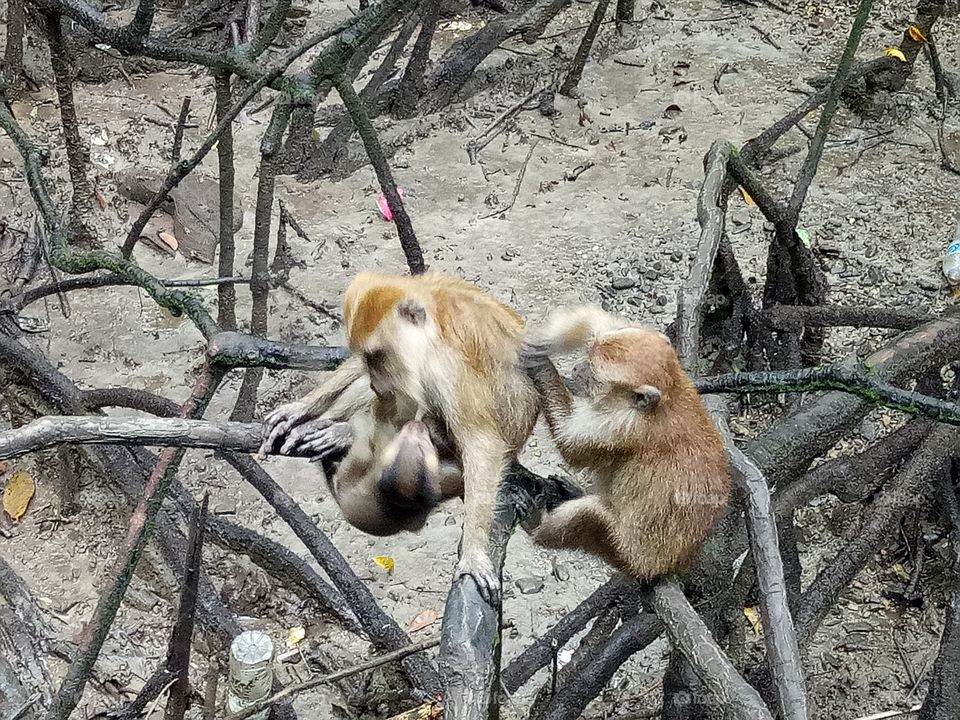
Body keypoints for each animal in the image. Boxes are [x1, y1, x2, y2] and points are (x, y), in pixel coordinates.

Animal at [260, 271, 540, 603]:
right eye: (369, 357)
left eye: (379, 355)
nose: (378, 380)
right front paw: (303, 408)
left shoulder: (447, 367)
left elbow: (481, 442)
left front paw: (473, 554)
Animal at [518, 305, 730, 581]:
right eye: (588, 354)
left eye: (592, 373)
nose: (576, 369)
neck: (665, 400)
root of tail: (676, 561)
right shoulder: (679, 376)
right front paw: (544, 343)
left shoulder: (621, 425)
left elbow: (570, 444)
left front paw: (541, 365)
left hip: (629, 552)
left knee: (589, 516)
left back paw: (538, 526)